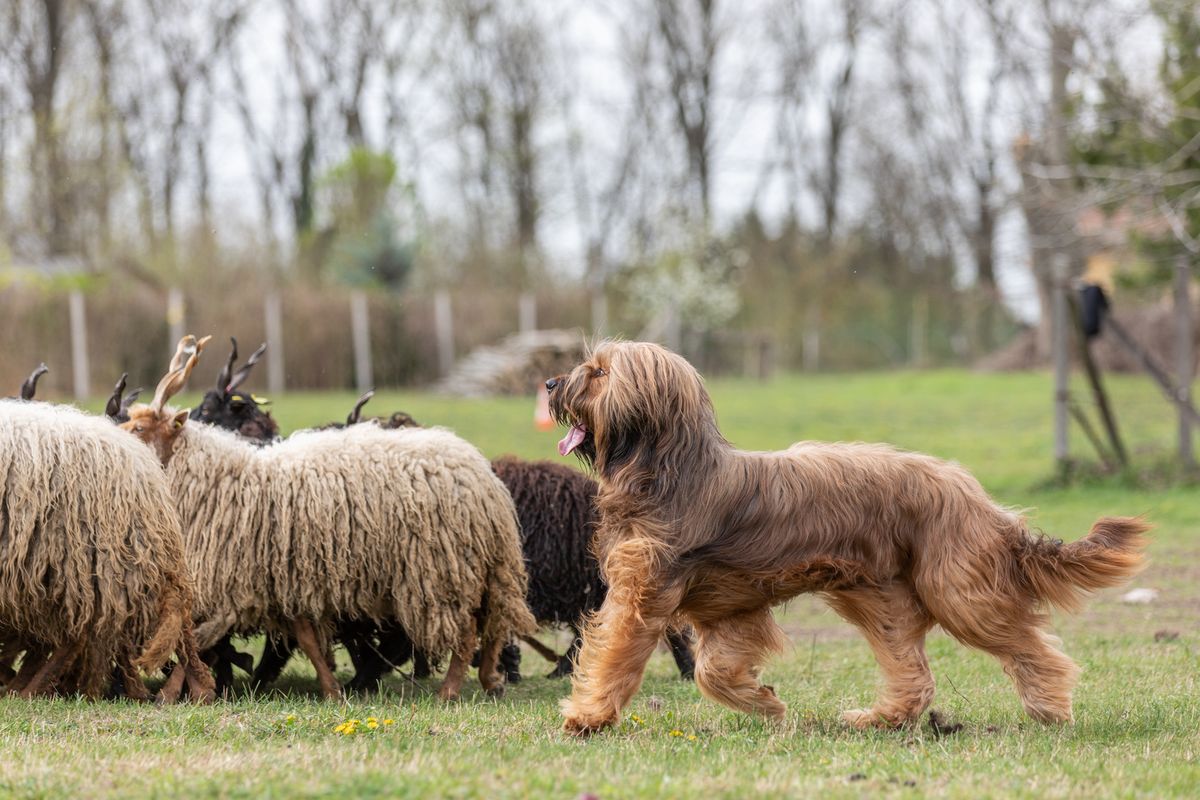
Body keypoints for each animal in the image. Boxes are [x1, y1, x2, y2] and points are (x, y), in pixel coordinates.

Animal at [549, 340, 1147, 734]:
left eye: (598, 372)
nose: (552, 384)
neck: (665, 470)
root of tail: (977, 496)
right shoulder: (731, 608)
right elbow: (713, 671)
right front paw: (765, 702)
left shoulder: (645, 591)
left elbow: (619, 651)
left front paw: (586, 716)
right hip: (875, 596)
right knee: (915, 673)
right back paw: (880, 718)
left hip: (956, 588)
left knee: (1028, 645)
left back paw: (1050, 708)